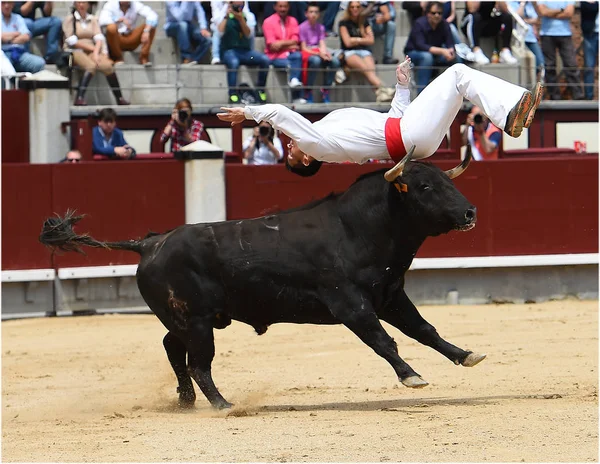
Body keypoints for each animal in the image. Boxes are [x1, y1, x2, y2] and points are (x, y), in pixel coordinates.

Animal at [41, 150, 488, 408]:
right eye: (425, 187)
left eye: (447, 181)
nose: (470, 213)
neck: (358, 228)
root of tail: (149, 242)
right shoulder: (351, 304)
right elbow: (383, 340)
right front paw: (412, 376)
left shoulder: (391, 296)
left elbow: (424, 329)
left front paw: (466, 355)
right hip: (197, 322)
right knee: (199, 362)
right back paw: (222, 405)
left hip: (187, 318)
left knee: (172, 348)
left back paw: (186, 400)